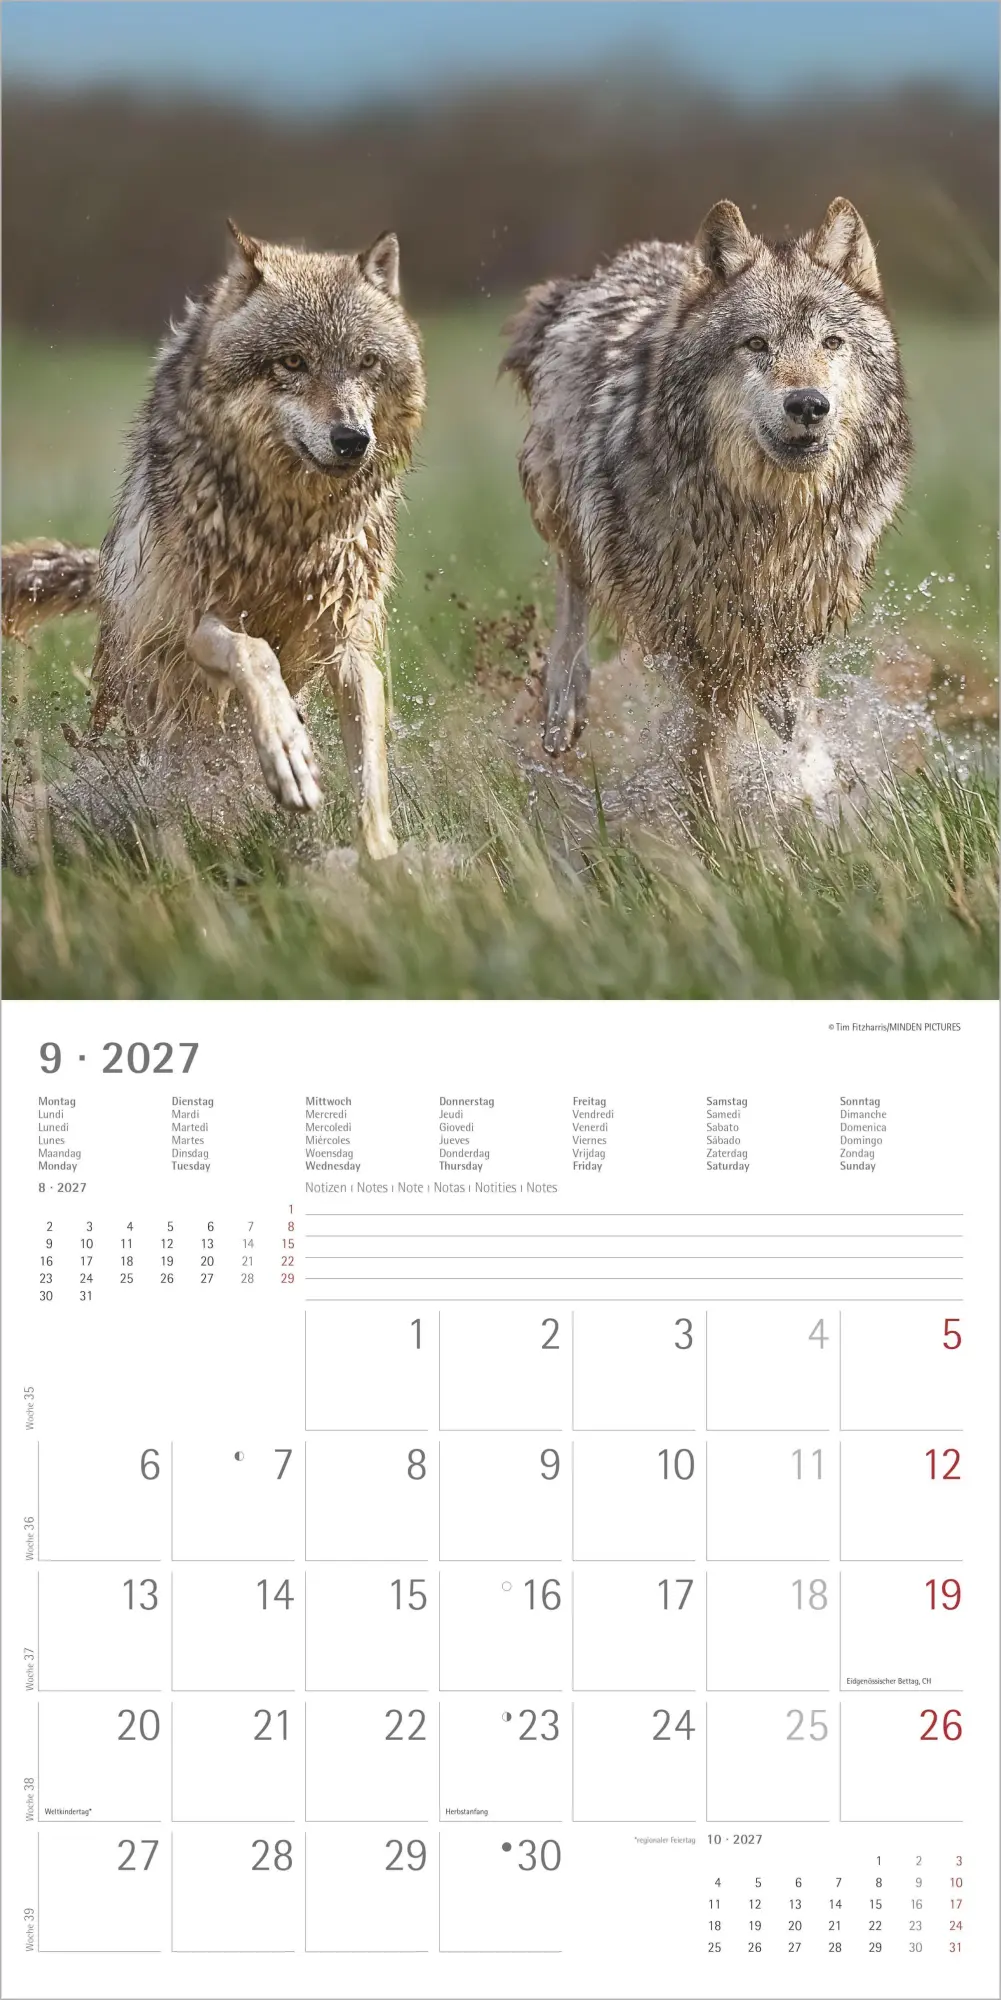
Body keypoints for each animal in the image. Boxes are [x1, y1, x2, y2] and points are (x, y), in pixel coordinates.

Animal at [2, 222, 426, 857]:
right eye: (293, 361)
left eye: (367, 362)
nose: (353, 439)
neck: (291, 530)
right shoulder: (200, 623)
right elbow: (257, 656)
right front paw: (288, 756)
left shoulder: (348, 642)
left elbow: (370, 771)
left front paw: (382, 860)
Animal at [502, 198, 911, 797]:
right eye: (757, 344)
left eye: (831, 343)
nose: (808, 404)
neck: (767, 520)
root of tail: (622, 261)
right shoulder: (689, 637)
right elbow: (705, 742)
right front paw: (710, 815)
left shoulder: (798, 623)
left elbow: (796, 725)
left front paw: (815, 789)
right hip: (562, 499)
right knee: (573, 579)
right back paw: (563, 703)